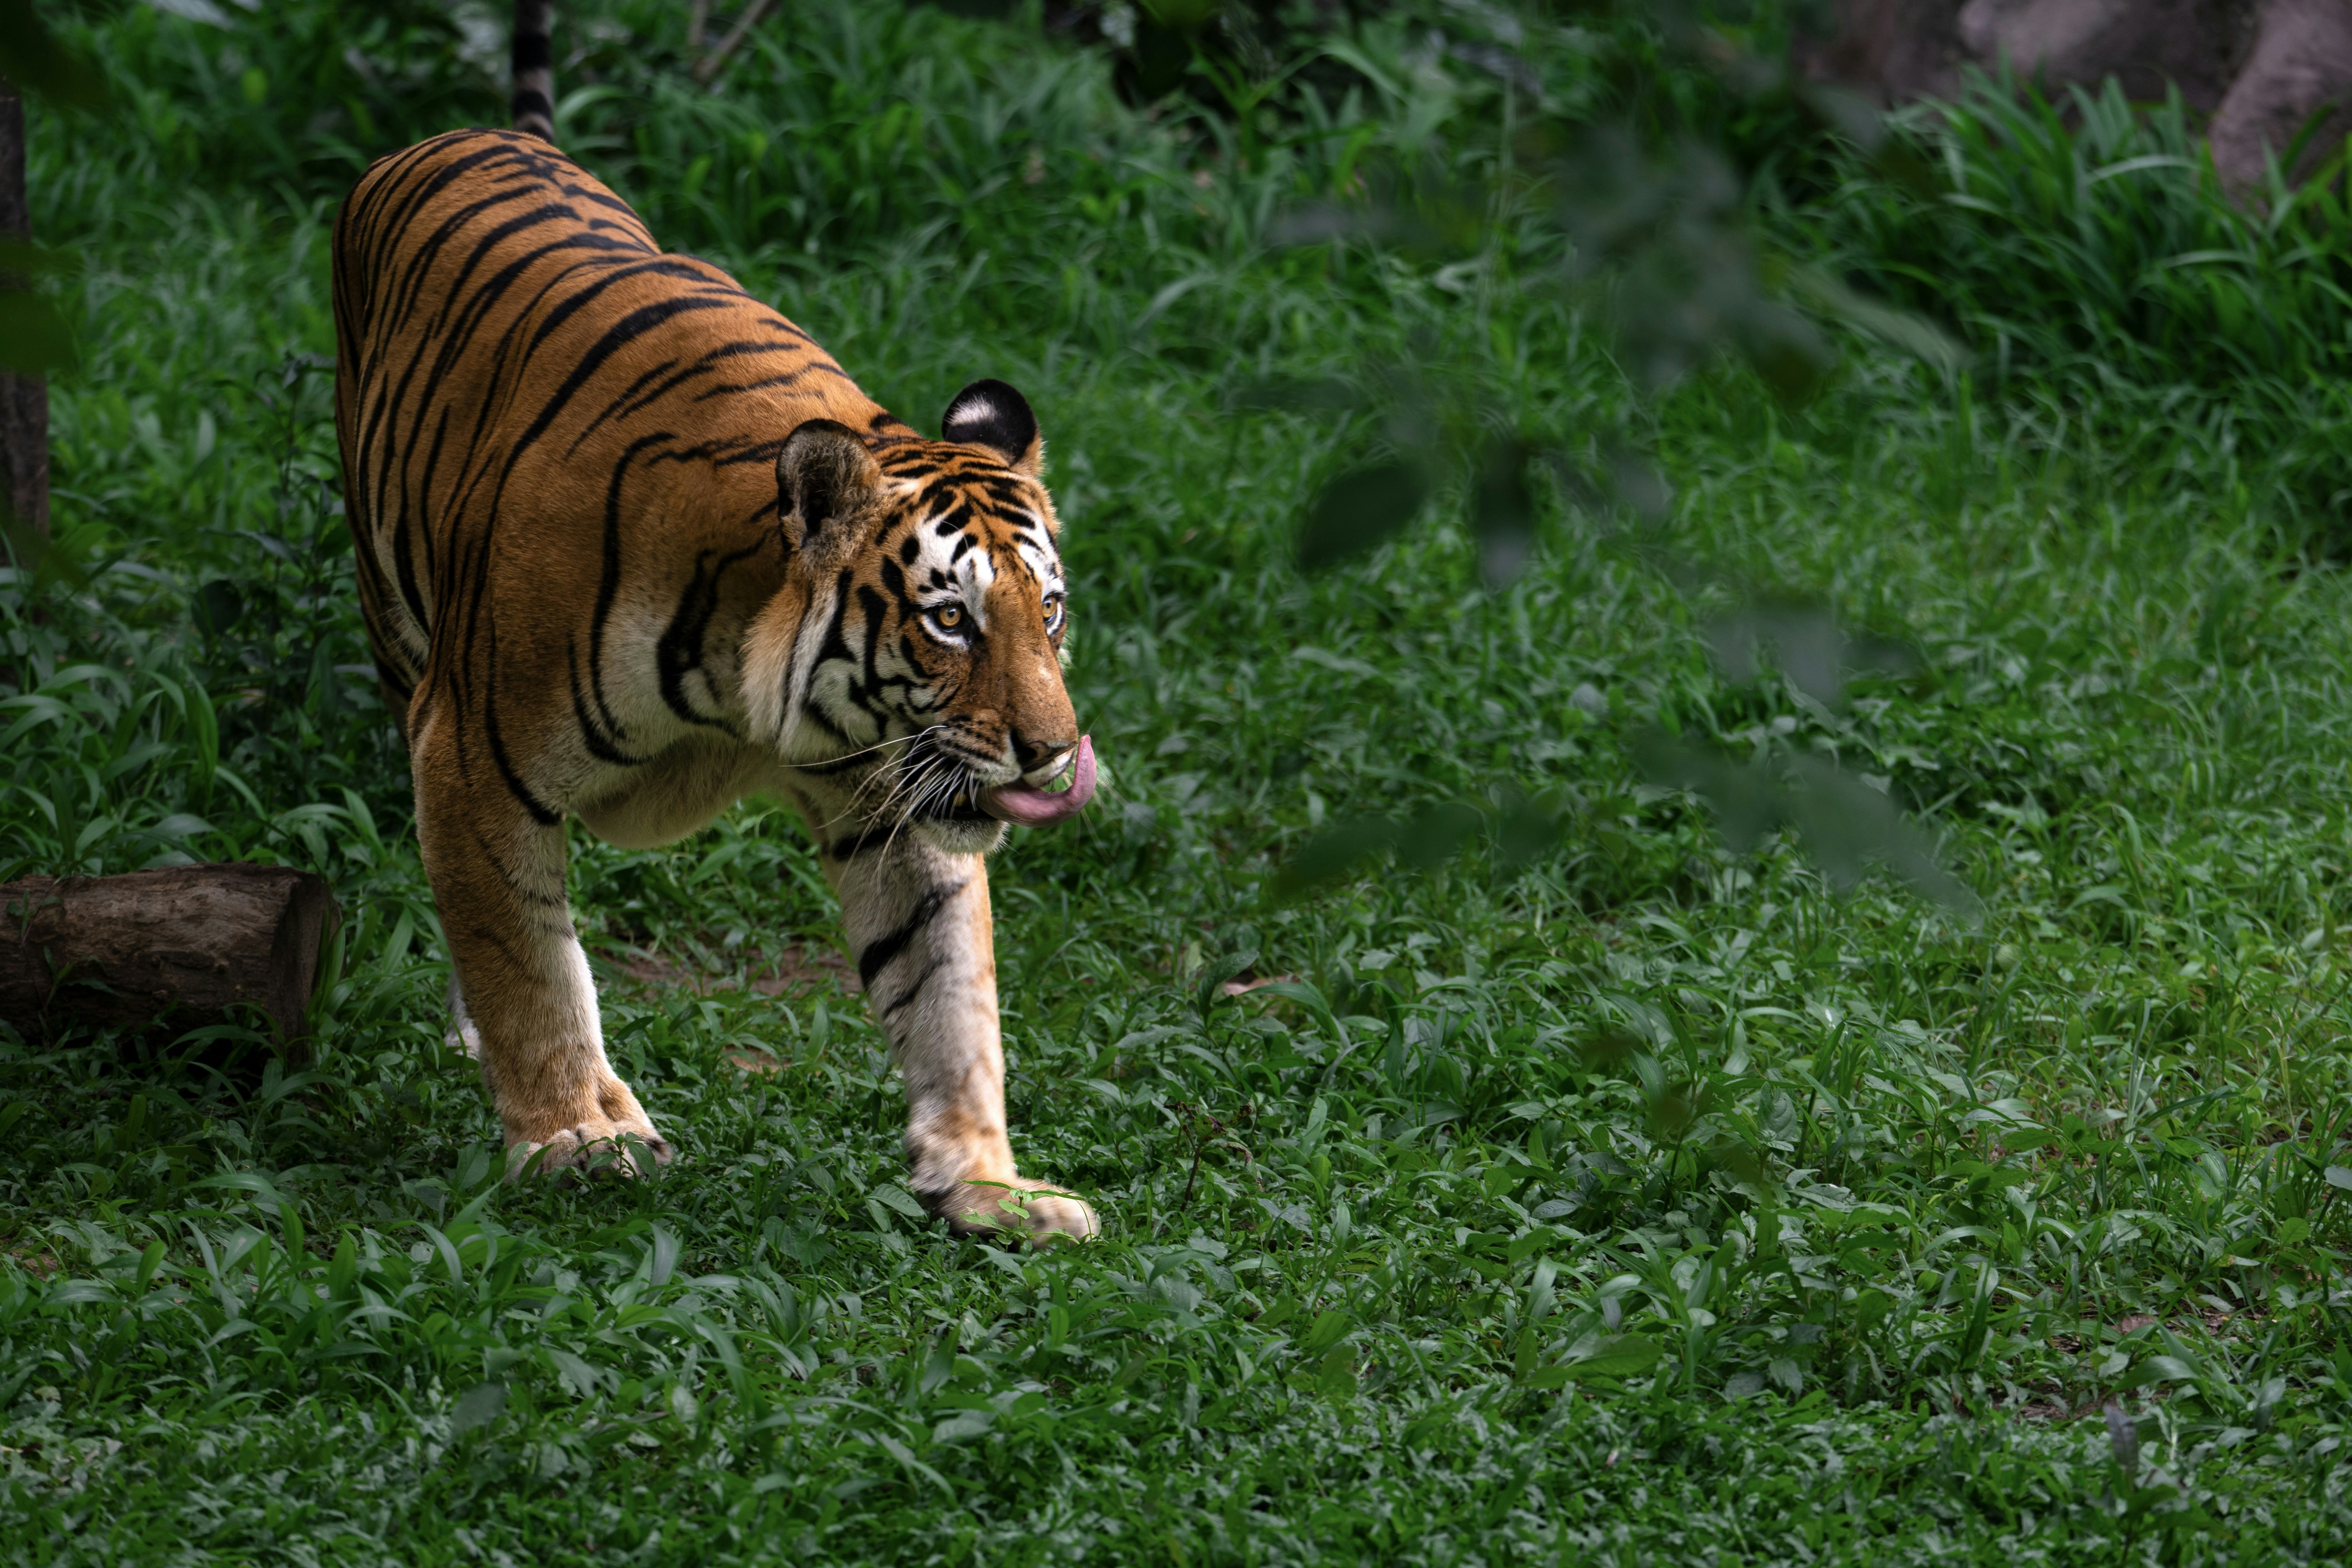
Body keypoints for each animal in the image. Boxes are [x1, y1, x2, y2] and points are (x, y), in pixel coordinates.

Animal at [329, 3, 1100, 1241]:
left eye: (1053, 613)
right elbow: (520, 955)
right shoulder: (468, 753)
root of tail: (478, 136)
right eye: (949, 620)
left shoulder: (891, 799)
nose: (1051, 753)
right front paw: (571, 1138)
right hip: (396, 622)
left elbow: (947, 992)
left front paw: (987, 1185)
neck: (747, 692)